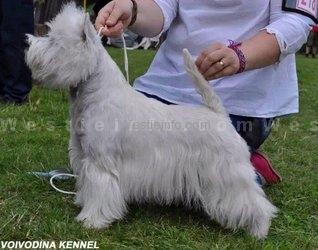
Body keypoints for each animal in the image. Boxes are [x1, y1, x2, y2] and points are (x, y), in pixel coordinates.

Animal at [26, 3, 278, 238]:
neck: (94, 93)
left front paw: (92, 220)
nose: (28, 44)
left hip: (227, 173)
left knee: (254, 202)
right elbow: (87, 185)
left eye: (53, 40)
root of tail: (219, 115)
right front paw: (82, 203)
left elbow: (100, 191)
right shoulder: (84, 156)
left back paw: (259, 231)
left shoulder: (101, 163)